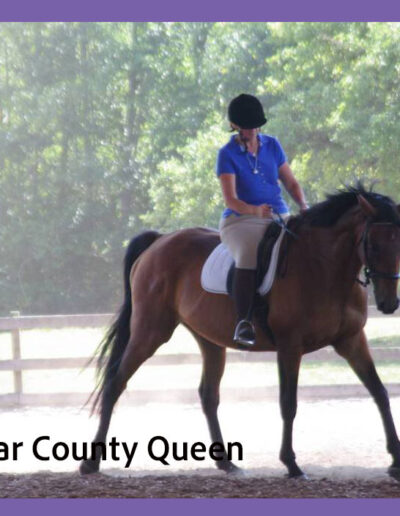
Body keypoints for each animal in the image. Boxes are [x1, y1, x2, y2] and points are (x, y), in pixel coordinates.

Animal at [80, 184, 400, 480]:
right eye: (373, 246)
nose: (388, 304)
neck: (324, 266)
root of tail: (159, 241)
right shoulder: (290, 346)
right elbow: (289, 403)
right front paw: (291, 464)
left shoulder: (351, 340)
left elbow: (380, 392)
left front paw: (395, 460)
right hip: (150, 331)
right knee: (115, 382)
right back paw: (91, 463)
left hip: (209, 340)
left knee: (208, 395)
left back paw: (226, 462)